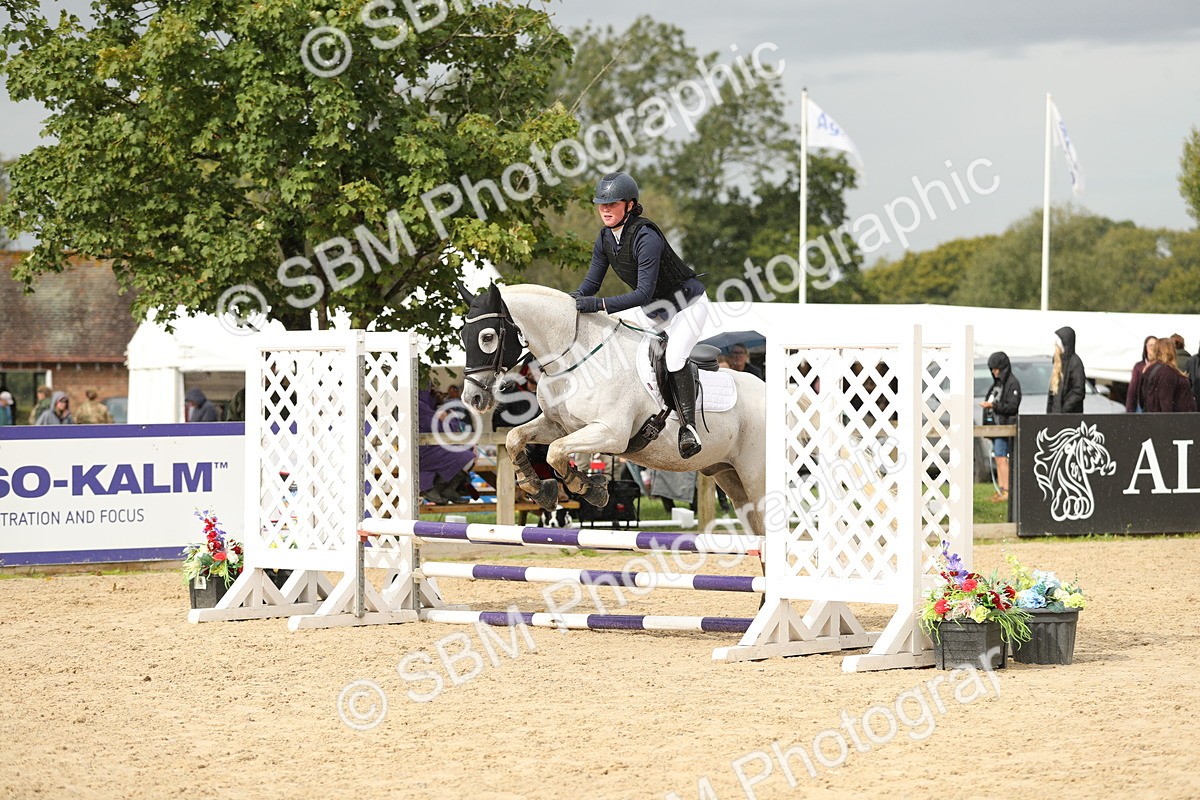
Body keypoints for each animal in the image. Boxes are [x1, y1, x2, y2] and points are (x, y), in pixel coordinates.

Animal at [457, 283, 766, 538]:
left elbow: (555, 452)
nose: (472, 398)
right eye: (462, 334)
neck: (578, 357)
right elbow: (516, 439)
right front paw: (539, 488)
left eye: (487, 337)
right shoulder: (558, 425)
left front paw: (589, 489)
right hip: (730, 477)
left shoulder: (610, 434)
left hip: (755, 478)